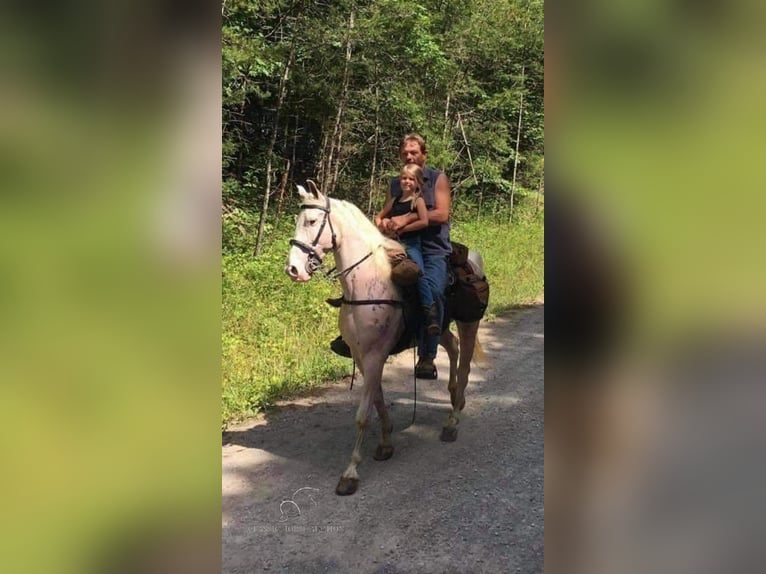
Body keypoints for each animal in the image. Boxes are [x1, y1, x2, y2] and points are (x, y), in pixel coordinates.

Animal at [284, 182, 488, 498]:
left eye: (312, 221)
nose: (293, 269)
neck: (365, 285)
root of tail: (472, 261)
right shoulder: (362, 356)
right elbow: (378, 403)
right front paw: (386, 444)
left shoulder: (375, 355)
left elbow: (363, 415)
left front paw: (350, 473)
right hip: (438, 327)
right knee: (451, 347)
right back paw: (453, 395)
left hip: (470, 323)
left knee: (465, 365)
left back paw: (453, 421)